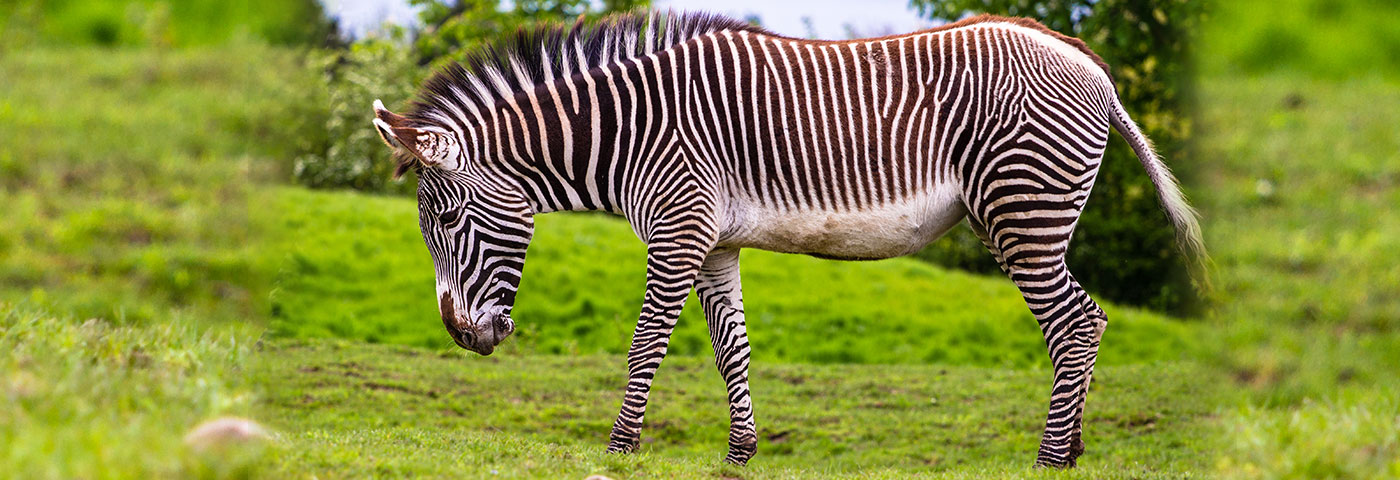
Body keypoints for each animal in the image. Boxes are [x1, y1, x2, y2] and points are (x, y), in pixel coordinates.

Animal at [369, 10, 1204, 470]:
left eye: (448, 223)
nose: (462, 337)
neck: (627, 133)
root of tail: (1084, 58)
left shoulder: (676, 229)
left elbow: (646, 344)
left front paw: (619, 447)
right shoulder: (713, 243)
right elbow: (730, 349)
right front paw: (741, 452)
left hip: (1022, 212)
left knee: (1077, 324)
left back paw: (1051, 456)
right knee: (1084, 324)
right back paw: (1074, 449)